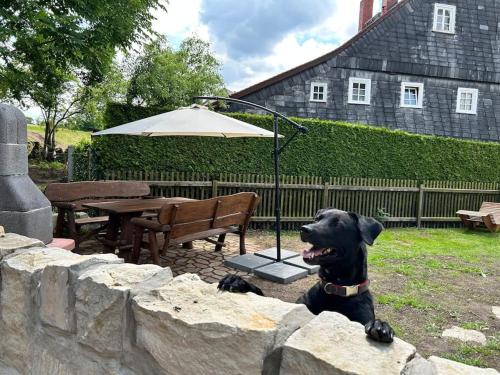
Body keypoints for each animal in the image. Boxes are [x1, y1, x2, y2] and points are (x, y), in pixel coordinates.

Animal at [218, 209, 394, 344]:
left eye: (338, 224)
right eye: (317, 218)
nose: (304, 229)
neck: (335, 288)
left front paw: (381, 326)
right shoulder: (298, 307)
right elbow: (261, 293)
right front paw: (238, 281)